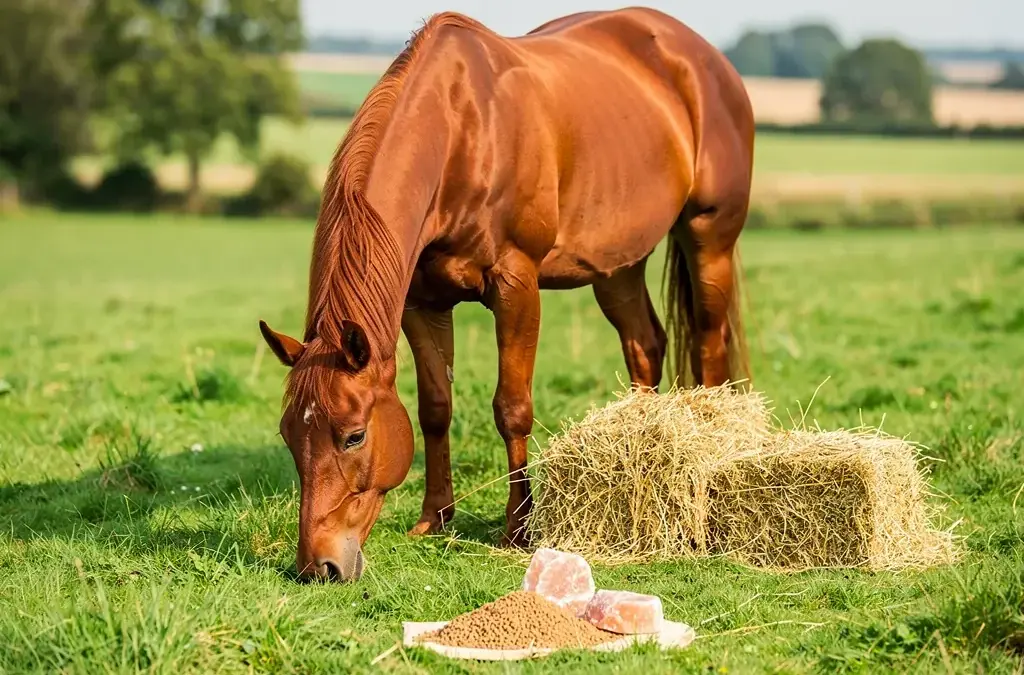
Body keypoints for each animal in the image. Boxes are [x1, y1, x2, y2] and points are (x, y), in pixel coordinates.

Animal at [258, 7, 754, 582]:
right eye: (288, 434)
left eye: (354, 435)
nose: (318, 567)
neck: (461, 132)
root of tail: (706, 59)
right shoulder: (422, 303)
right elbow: (435, 407)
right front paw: (435, 518)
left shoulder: (517, 286)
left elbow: (511, 408)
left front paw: (518, 530)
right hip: (617, 265)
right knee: (645, 345)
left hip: (709, 238)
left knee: (709, 344)